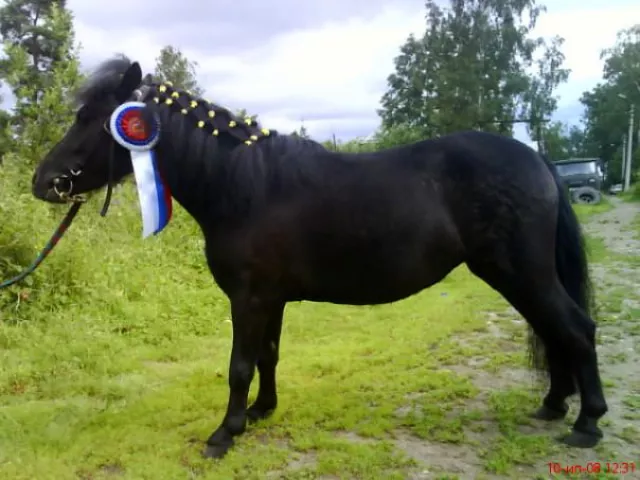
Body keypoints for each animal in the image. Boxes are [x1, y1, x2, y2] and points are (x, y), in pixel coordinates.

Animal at [31, 55, 608, 458]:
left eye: (91, 119)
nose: (45, 182)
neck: (245, 186)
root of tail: (537, 159)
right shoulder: (271, 299)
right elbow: (267, 356)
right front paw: (261, 412)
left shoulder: (249, 297)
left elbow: (239, 365)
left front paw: (224, 434)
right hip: (517, 276)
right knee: (554, 331)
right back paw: (554, 405)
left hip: (522, 273)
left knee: (575, 329)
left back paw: (587, 423)